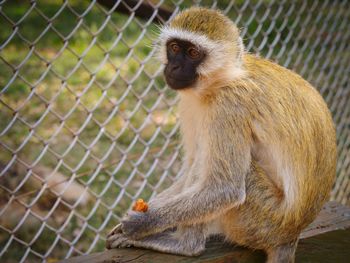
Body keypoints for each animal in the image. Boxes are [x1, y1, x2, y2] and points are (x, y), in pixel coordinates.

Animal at [106, 6, 336, 263]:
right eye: (174, 48)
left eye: (193, 53)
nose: (173, 68)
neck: (221, 80)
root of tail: (290, 234)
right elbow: (191, 165)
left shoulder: (229, 105)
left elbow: (225, 188)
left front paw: (143, 223)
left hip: (261, 220)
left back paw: (186, 245)